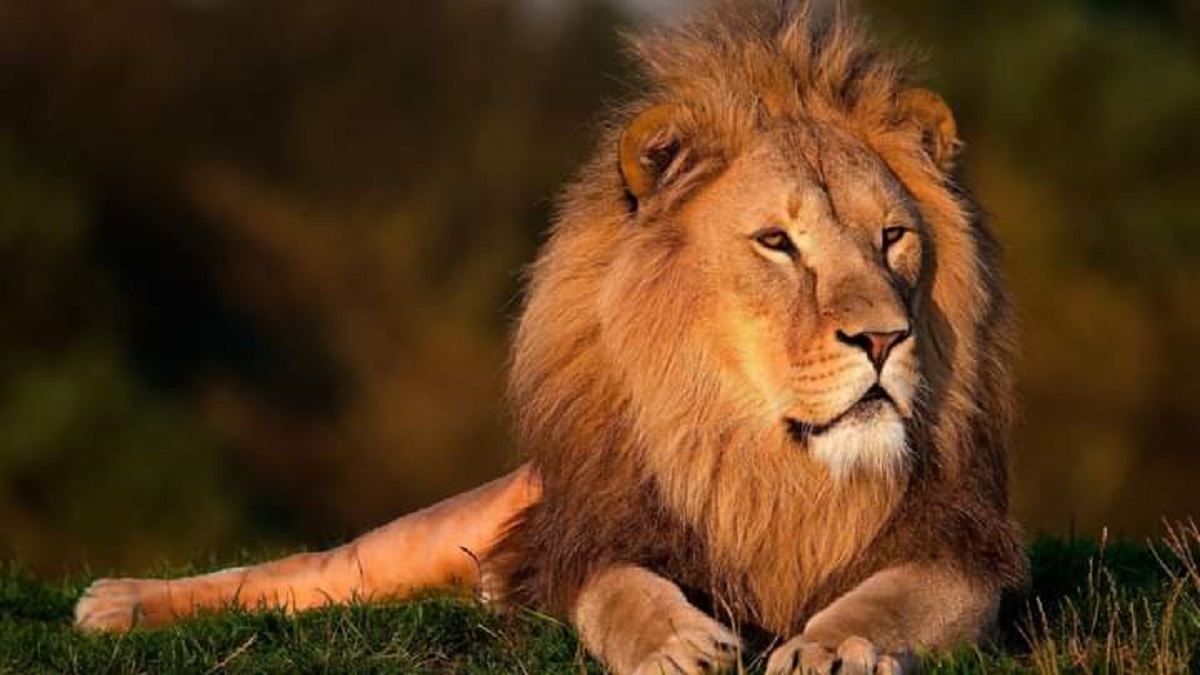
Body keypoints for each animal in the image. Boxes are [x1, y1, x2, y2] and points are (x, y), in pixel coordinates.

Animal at [74, 2, 1027, 673]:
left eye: (892, 237)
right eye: (777, 242)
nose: (885, 339)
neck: (767, 465)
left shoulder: (959, 549)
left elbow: (895, 598)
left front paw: (835, 644)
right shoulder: (595, 537)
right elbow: (619, 593)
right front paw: (675, 642)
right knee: (306, 571)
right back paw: (116, 601)